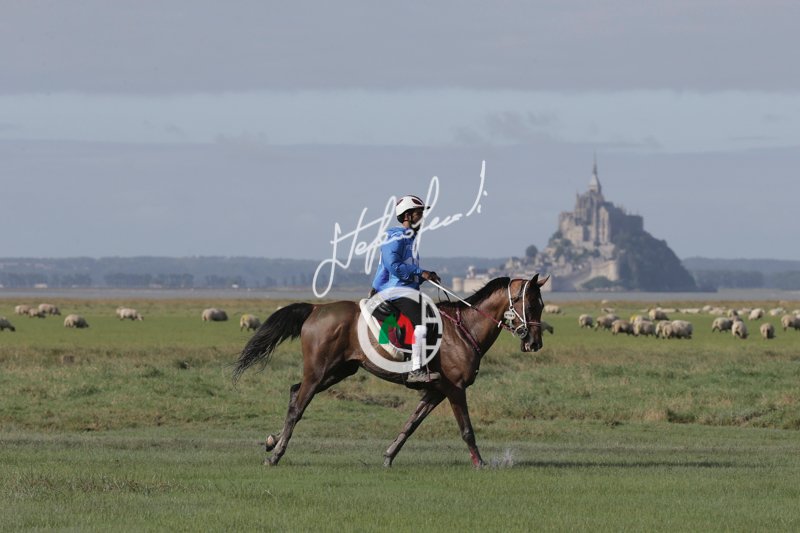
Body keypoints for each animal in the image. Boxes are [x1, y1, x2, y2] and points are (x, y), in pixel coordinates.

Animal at [233, 274, 548, 467]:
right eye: (531, 303)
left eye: (542, 305)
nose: (535, 343)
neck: (464, 329)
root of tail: (315, 309)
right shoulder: (455, 389)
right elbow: (467, 430)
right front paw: (480, 463)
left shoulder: (435, 392)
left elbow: (411, 425)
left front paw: (388, 455)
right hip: (319, 372)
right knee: (298, 407)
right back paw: (276, 455)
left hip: (337, 371)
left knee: (293, 392)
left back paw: (272, 442)